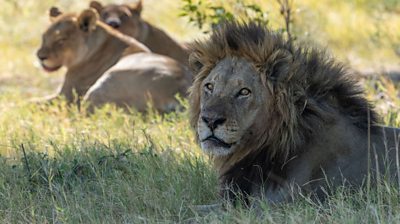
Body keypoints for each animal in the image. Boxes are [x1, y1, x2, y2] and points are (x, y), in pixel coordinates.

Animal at [38, 7, 192, 112]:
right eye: (44, 37)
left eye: (61, 40)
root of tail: (180, 91)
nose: (40, 57)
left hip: (102, 84)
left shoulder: (65, 95)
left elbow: (34, 102)